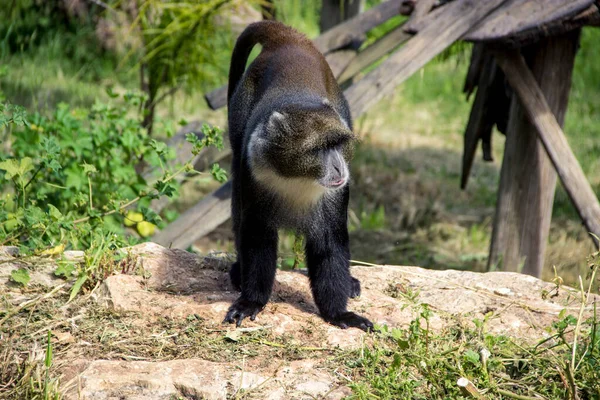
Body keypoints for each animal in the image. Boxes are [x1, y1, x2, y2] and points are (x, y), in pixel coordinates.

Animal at [223, 20, 372, 332]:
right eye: (319, 149)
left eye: (338, 144)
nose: (340, 168)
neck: (297, 176)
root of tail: (287, 39)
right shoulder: (253, 170)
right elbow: (256, 237)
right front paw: (251, 300)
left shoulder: (335, 194)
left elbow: (329, 244)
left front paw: (339, 313)